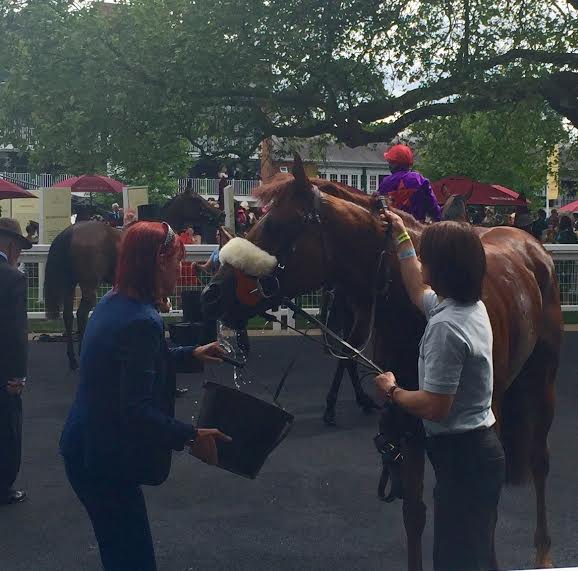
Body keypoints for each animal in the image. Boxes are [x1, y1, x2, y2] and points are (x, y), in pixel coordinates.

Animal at [201, 159, 560, 571]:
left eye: (276, 224)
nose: (211, 294)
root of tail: (530, 243)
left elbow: (481, 508)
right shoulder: (406, 423)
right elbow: (415, 513)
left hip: (543, 379)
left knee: (539, 460)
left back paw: (544, 551)